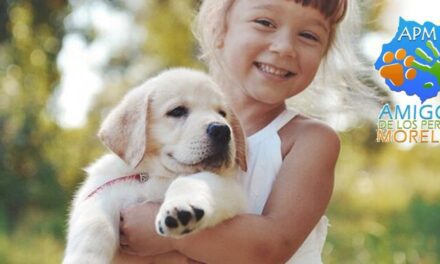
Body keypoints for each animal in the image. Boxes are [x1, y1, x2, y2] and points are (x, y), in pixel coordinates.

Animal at [62, 68, 248, 264]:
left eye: (222, 113)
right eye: (177, 111)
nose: (222, 130)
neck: (157, 173)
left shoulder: (230, 189)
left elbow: (191, 180)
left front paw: (182, 207)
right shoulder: (104, 191)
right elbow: (95, 222)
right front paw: (84, 258)